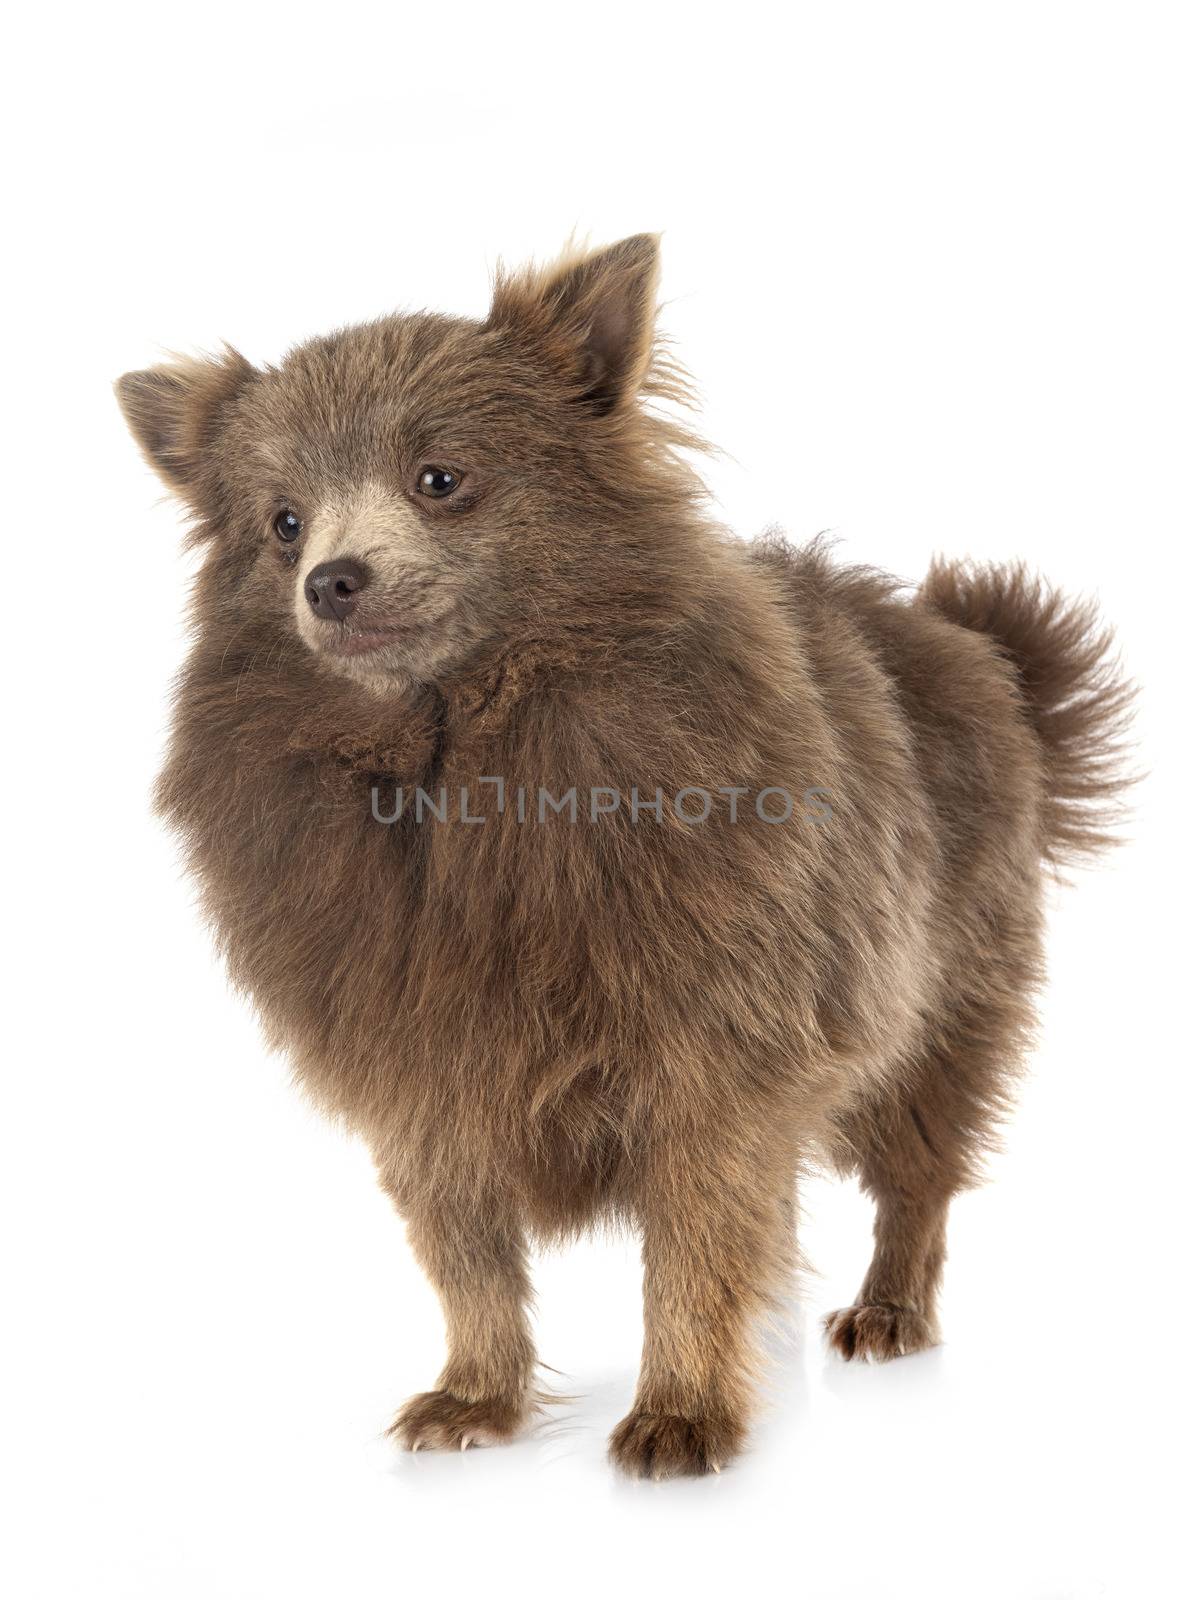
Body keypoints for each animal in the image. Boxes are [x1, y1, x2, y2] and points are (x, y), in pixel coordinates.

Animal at [116, 233, 1139, 1472]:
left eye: (440, 480)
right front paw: (478, 1392)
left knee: (915, 1180)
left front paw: (682, 1407)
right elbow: (468, 1261)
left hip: (935, 1007)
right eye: (283, 524)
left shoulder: (714, 1057)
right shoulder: (420, 1074)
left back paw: (887, 1306)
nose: (331, 579)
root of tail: (981, 655)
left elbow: (691, 1251)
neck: (459, 760)